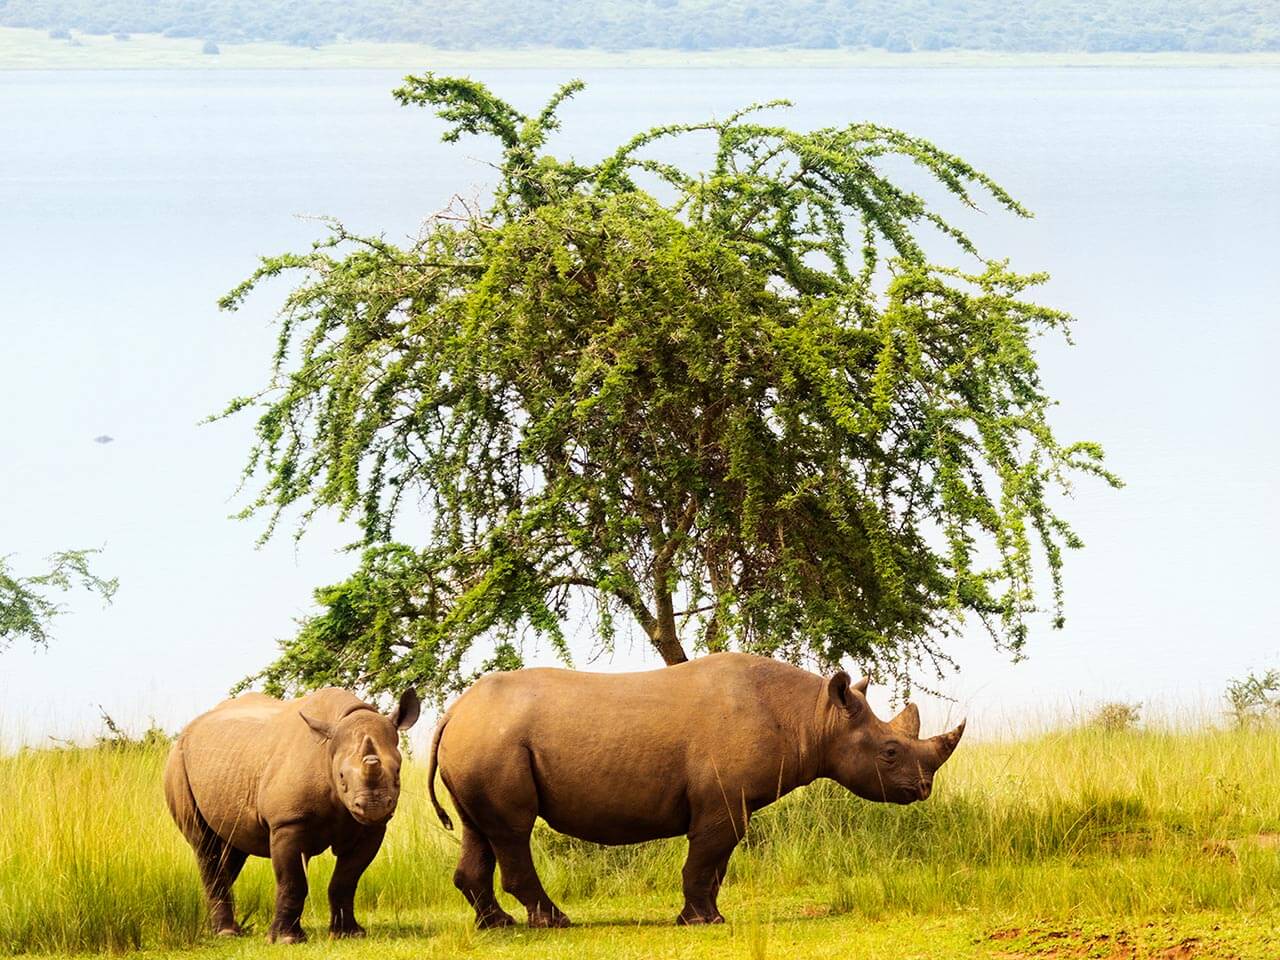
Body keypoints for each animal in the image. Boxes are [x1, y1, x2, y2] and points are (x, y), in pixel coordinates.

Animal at [163, 687, 420, 943]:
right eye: (341, 777)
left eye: (398, 771)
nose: (374, 807)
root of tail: (187, 731)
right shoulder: (288, 823)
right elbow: (292, 881)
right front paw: (286, 939)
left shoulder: (371, 829)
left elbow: (346, 879)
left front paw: (349, 934)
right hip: (177, 762)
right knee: (204, 845)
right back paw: (226, 933)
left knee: (232, 848)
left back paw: (223, 929)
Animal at [426, 652, 963, 927]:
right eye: (890, 752)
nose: (923, 789)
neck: (814, 716)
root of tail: (452, 712)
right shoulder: (723, 800)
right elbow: (706, 859)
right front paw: (705, 921)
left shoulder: (730, 801)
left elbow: (716, 864)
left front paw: (704, 916)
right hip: (493, 742)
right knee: (512, 831)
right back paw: (557, 922)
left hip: (481, 741)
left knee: (480, 830)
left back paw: (497, 926)